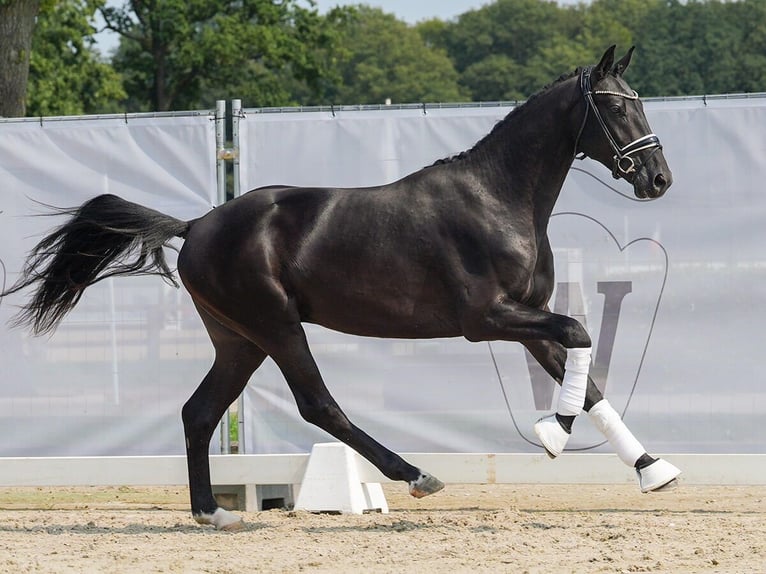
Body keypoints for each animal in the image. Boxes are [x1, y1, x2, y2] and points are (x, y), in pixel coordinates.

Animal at [3, 47, 680, 532]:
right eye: (615, 107)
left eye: (640, 103)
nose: (658, 178)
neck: (497, 197)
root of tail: (196, 225)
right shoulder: (487, 318)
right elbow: (580, 334)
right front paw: (552, 434)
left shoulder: (527, 315)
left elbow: (586, 377)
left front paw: (654, 470)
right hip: (276, 326)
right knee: (316, 405)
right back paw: (415, 476)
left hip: (239, 340)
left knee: (200, 412)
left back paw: (213, 512)